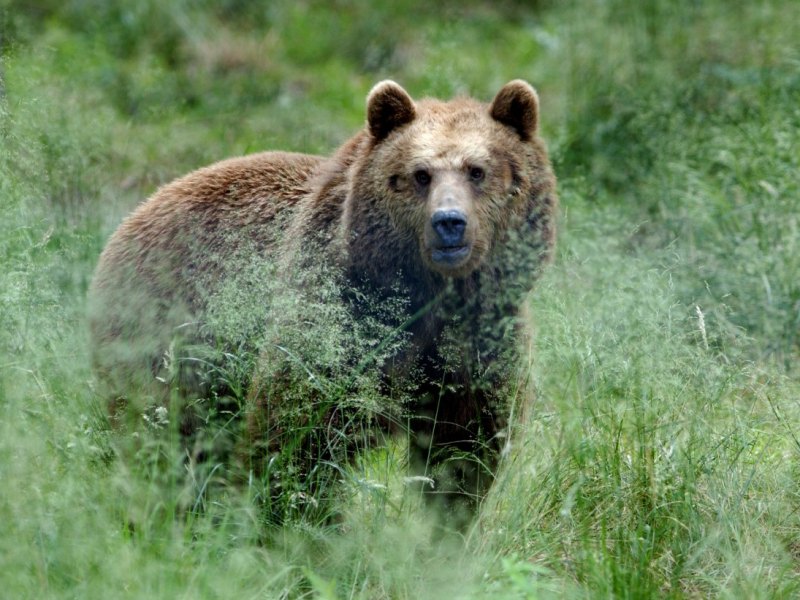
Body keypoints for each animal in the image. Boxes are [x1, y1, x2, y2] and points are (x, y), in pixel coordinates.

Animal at [88, 79, 557, 521]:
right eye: (420, 174)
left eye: (477, 171)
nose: (449, 223)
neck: (429, 297)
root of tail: (135, 214)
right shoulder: (340, 318)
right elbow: (299, 435)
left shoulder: (479, 342)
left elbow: (464, 449)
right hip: (168, 336)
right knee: (164, 435)